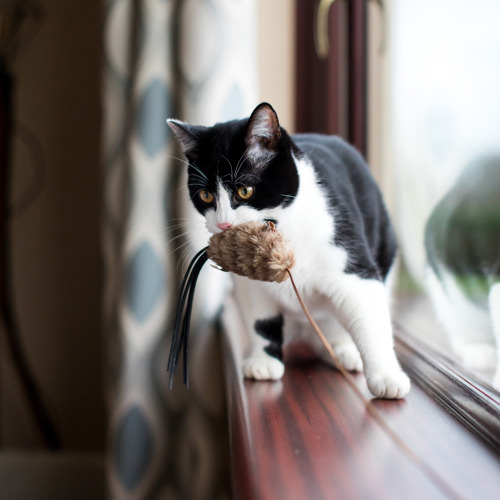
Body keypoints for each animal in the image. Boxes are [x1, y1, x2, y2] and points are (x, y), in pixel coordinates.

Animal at [168, 101, 410, 398]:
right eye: (205, 196)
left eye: (245, 191)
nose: (223, 223)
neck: (285, 233)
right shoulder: (250, 287)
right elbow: (260, 321)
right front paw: (263, 361)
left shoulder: (352, 266)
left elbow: (370, 320)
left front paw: (386, 376)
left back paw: (343, 350)